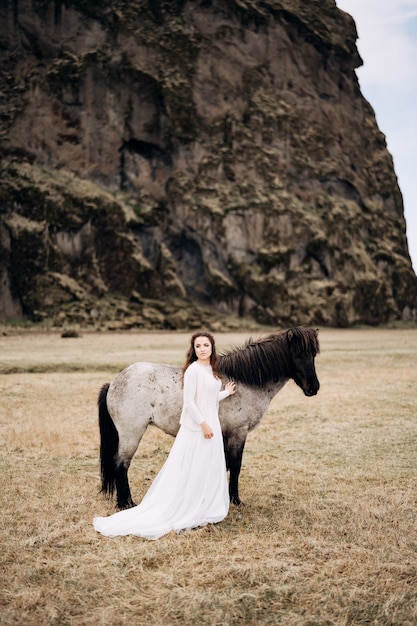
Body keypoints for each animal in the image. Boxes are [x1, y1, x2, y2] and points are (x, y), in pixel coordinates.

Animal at [97, 326, 318, 508]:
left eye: (313, 355)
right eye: (297, 355)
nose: (314, 388)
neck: (245, 382)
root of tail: (113, 382)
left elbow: (225, 464)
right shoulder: (239, 433)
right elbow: (235, 466)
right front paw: (235, 500)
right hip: (131, 434)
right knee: (121, 464)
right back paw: (126, 504)